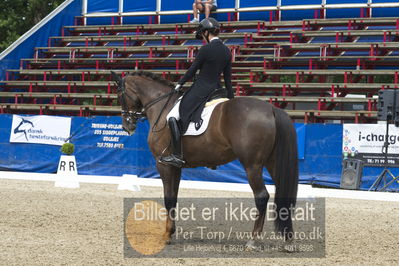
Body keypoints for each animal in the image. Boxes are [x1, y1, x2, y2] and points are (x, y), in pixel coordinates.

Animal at [111, 71, 298, 247]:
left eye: (119, 94)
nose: (127, 126)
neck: (161, 106)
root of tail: (272, 109)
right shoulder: (176, 166)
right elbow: (174, 197)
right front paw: (171, 232)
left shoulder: (163, 164)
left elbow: (168, 198)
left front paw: (166, 235)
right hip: (273, 163)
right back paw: (288, 240)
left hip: (252, 165)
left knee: (261, 196)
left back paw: (252, 240)